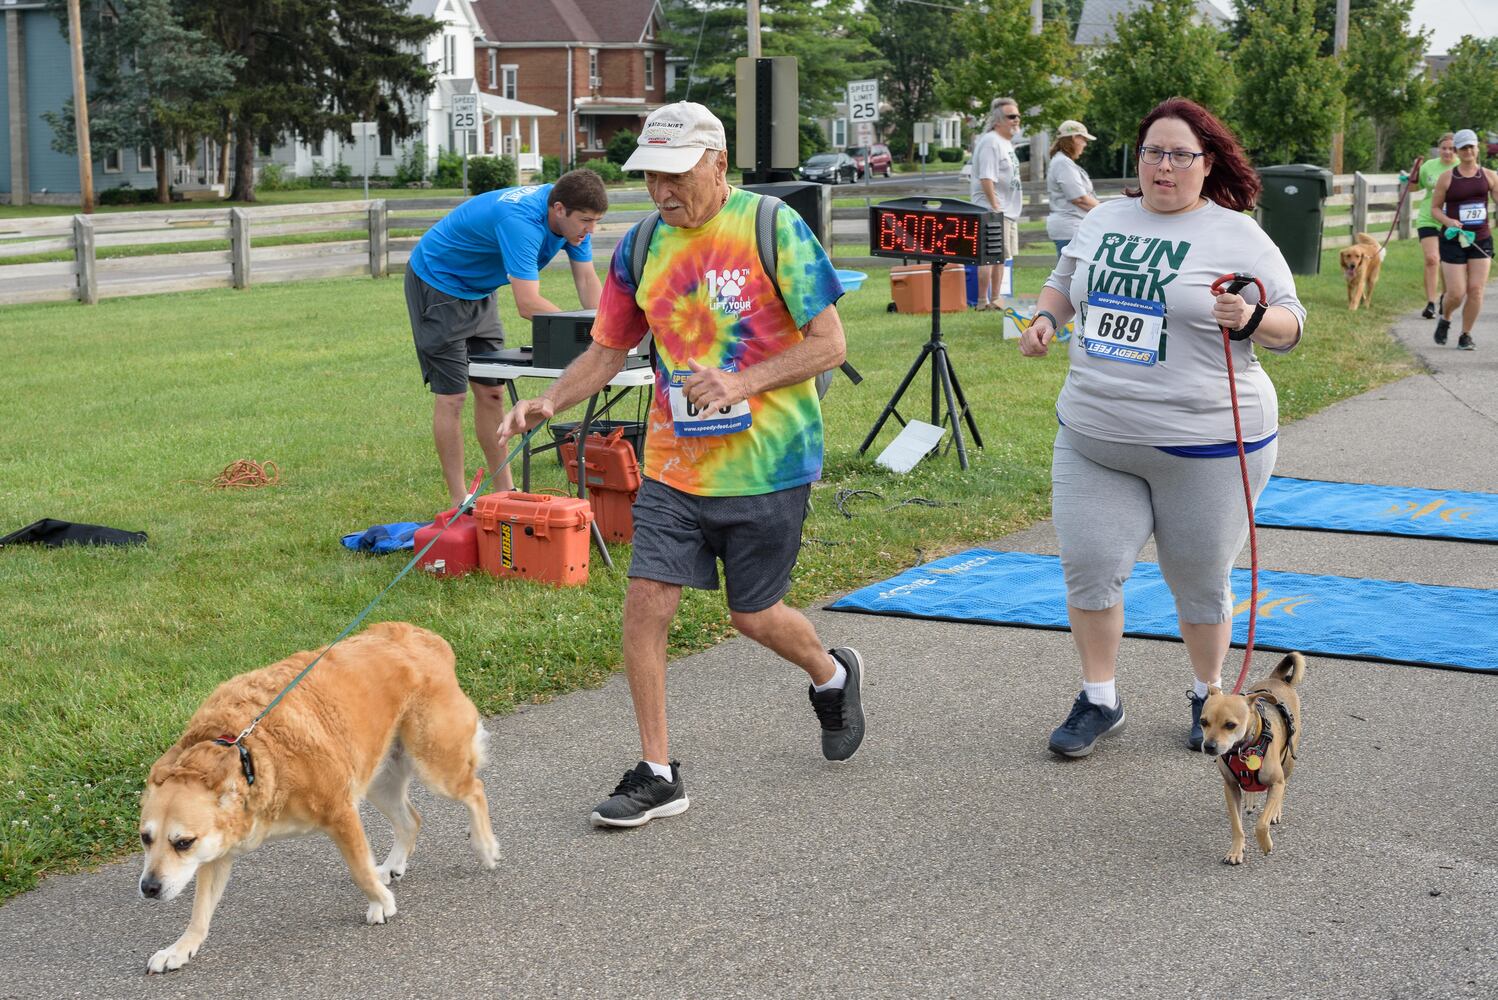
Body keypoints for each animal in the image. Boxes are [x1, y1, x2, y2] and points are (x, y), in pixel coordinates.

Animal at [136, 619, 497, 970]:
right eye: (145, 838)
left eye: (183, 842)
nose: (149, 888)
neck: (247, 756)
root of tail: (425, 638)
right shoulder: (218, 849)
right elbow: (200, 911)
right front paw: (181, 948)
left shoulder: (340, 812)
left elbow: (359, 871)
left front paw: (380, 902)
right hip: (379, 777)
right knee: (412, 820)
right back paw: (393, 865)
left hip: (435, 764)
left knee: (474, 791)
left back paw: (485, 846)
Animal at [1198, 652, 1306, 862]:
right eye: (1203, 722)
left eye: (1230, 725)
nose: (1209, 746)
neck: (1242, 750)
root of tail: (1277, 679)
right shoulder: (1230, 787)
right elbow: (1236, 825)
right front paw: (1236, 850)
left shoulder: (1276, 783)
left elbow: (1261, 823)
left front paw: (1265, 843)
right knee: (1250, 787)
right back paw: (1249, 799)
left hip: (1288, 762)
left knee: (1283, 786)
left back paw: (1275, 811)